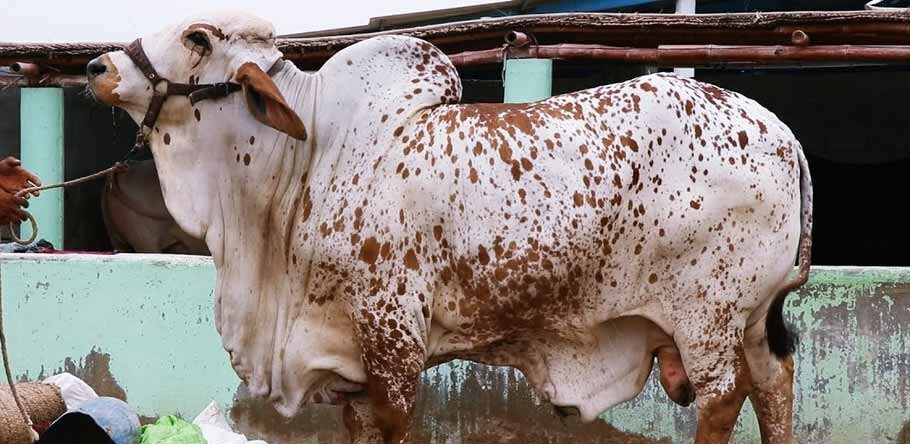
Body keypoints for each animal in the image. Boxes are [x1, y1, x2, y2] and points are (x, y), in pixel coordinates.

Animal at [86, 11, 813, 444]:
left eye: (198, 37)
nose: (98, 67)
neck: (309, 155)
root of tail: (779, 132)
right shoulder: (347, 351)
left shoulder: (392, 333)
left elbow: (395, 421)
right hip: (750, 318)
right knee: (774, 384)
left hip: (707, 317)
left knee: (724, 398)